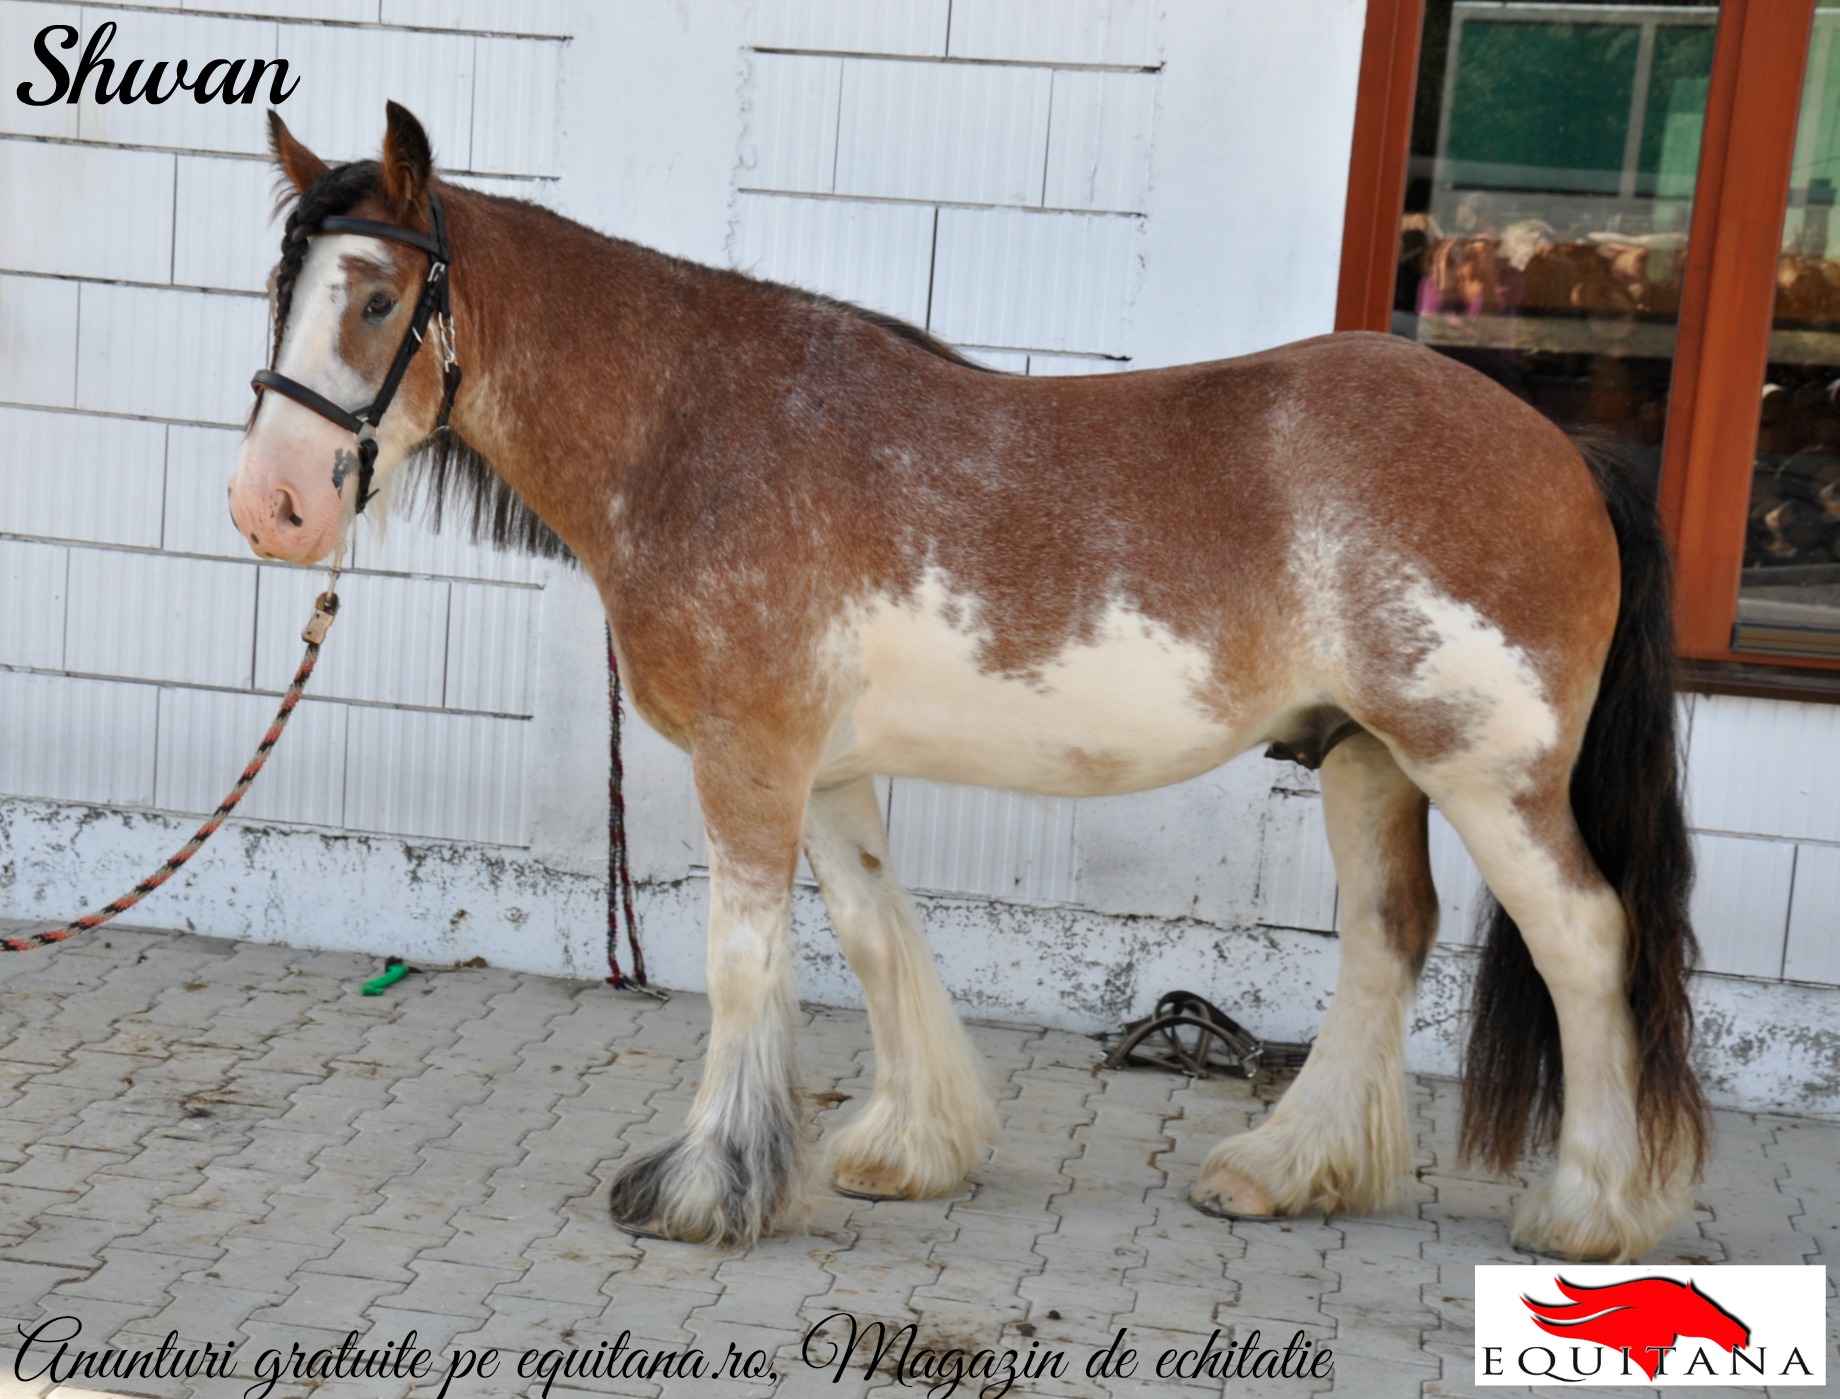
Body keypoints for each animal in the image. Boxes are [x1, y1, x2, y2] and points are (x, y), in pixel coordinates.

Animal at [230, 109, 1707, 1259]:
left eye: (377, 299)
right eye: (279, 290)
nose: (272, 506)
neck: (698, 429)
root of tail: (1564, 448)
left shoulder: (750, 760)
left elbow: (742, 961)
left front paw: (706, 1186)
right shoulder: (823, 766)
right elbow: (877, 932)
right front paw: (906, 1147)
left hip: (1484, 771)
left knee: (1585, 939)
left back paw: (1590, 1211)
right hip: (1367, 758)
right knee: (1387, 937)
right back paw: (1282, 1170)